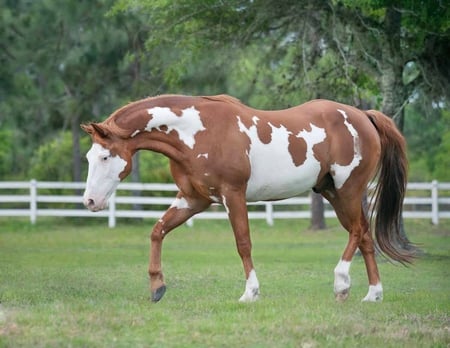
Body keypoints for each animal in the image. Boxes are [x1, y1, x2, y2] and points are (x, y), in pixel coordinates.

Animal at [81, 94, 414, 304]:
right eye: (88, 157)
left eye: (105, 156)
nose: (90, 202)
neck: (197, 132)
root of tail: (364, 116)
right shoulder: (193, 200)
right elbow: (157, 231)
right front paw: (157, 287)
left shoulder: (233, 195)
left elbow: (243, 244)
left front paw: (250, 293)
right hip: (335, 192)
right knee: (365, 237)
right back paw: (373, 294)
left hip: (348, 190)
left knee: (358, 232)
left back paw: (341, 283)